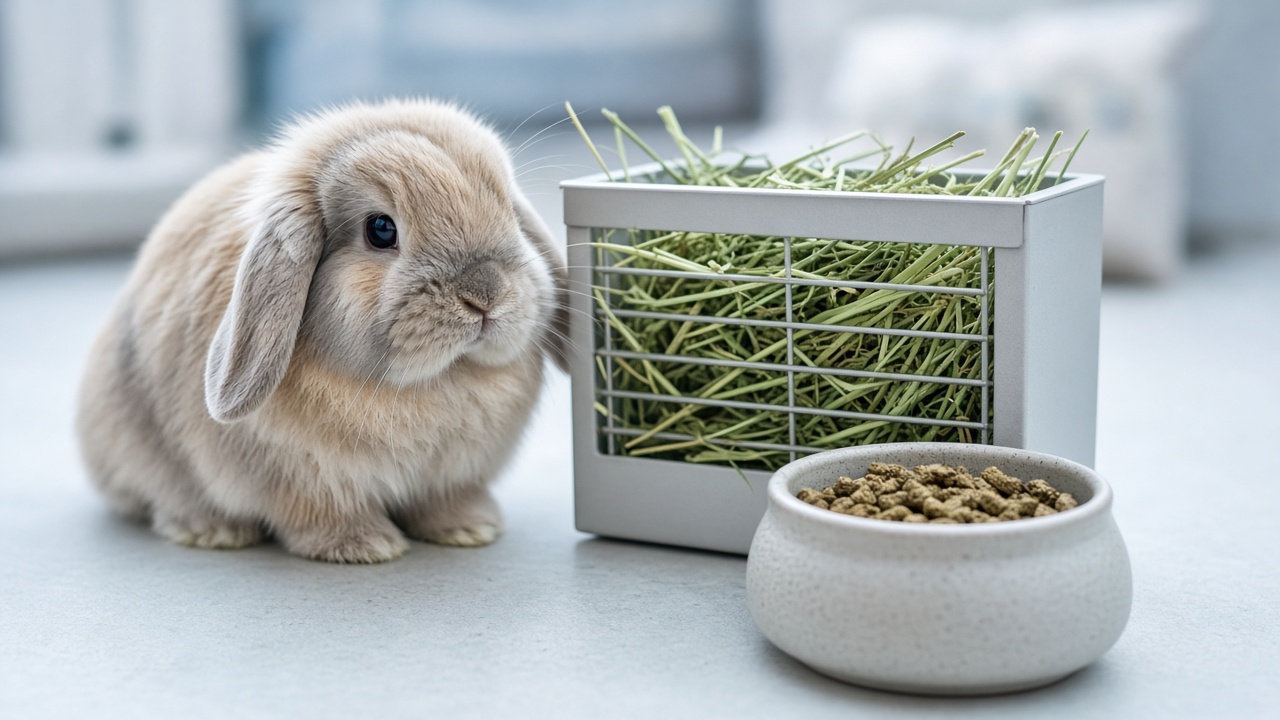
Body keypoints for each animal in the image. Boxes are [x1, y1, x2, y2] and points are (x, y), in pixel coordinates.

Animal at [76, 98, 570, 563]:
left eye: (509, 211)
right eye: (381, 229)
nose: (485, 295)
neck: (433, 381)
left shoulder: (451, 478)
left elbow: (446, 502)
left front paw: (470, 529)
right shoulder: (304, 482)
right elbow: (325, 514)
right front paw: (364, 546)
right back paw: (213, 532)